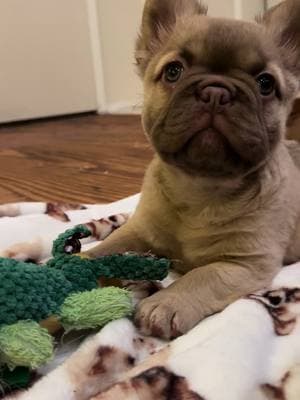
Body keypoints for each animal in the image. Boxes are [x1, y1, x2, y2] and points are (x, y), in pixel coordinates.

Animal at [86, 0, 300, 340]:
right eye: (173, 71)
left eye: (265, 84)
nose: (217, 92)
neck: (201, 187)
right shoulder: (138, 230)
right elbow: (107, 247)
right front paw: (70, 264)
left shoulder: (243, 264)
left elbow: (203, 276)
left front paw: (167, 301)